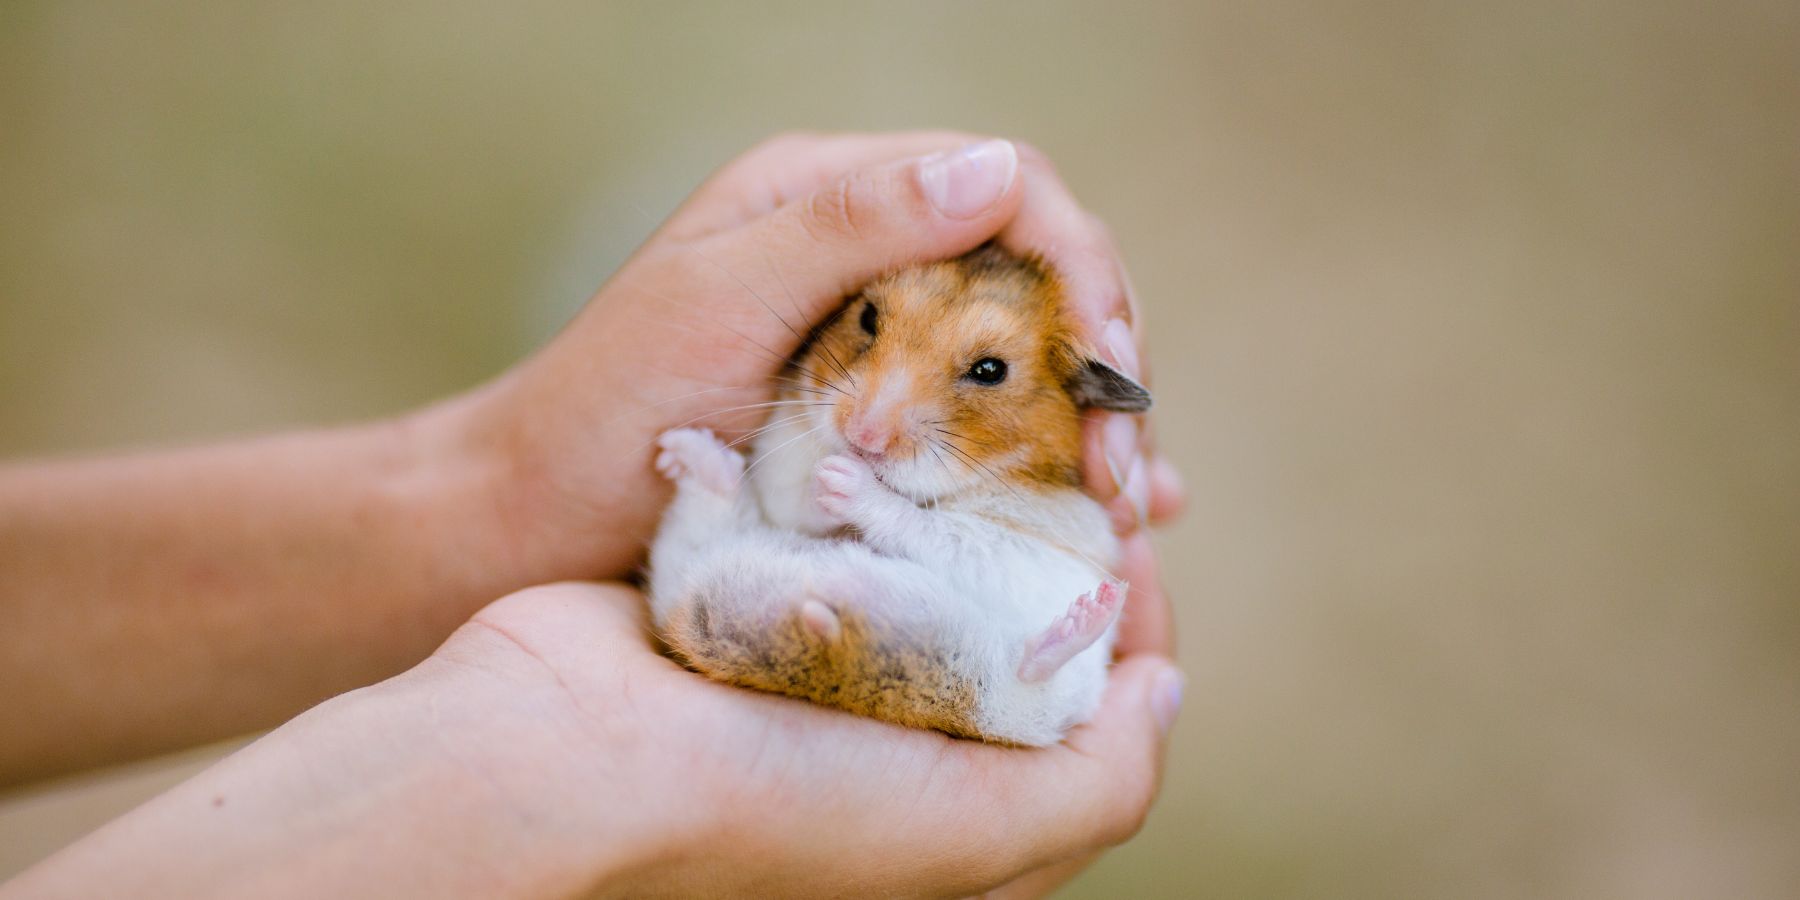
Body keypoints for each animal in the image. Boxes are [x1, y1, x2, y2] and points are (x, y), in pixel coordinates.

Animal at [646, 243, 1151, 746]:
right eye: (867, 317)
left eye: (991, 370)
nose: (861, 437)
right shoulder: (780, 458)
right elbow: (794, 499)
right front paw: (827, 476)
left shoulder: (1033, 551)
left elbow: (934, 527)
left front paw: (842, 480)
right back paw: (686, 453)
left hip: (1035, 699)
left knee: (1029, 674)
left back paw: (1093, 611)